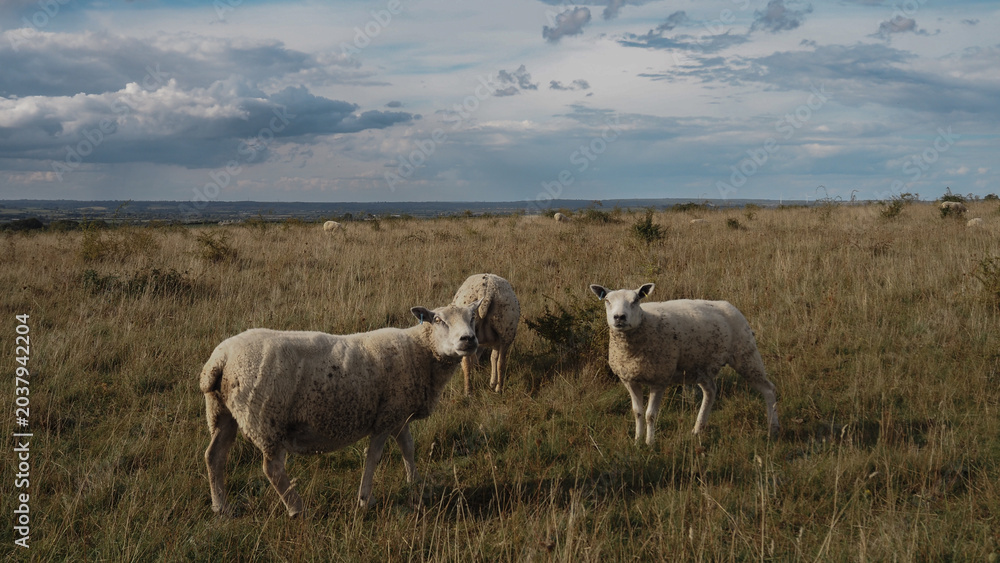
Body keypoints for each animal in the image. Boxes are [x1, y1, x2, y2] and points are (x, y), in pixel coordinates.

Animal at [200, 300, 481, 517]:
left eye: (473, 318)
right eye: (438, 320)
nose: (468, 339)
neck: (419, 352)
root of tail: (219, 359)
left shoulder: (398, 413)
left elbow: (408, 448)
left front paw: (415, 484)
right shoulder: (385, 417)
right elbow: (373, 456)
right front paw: (365, 500)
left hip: (222, 412)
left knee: (214, 456)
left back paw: (220, 506)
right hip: (265, 419)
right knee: (272, 469)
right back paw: (297, 509)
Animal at [589, 283, 780, 444]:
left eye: (636, 300)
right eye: (607, 300)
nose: (619, 317)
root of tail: (728, 305)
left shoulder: (660, 378)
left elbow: (650, 415)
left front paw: (650, 443)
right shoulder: (629, 379)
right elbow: (637, 413)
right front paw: (637, 441)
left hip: (745, 353)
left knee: (769, 389)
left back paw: (773, 429)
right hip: (701, 367)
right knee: (711, 391)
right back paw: (697, 429)